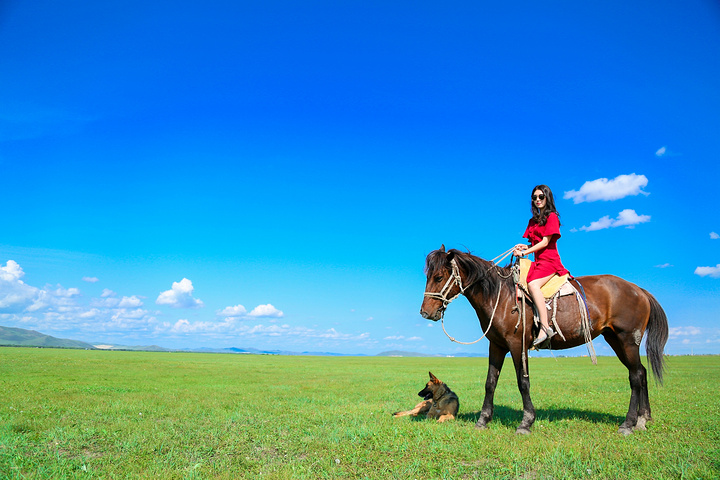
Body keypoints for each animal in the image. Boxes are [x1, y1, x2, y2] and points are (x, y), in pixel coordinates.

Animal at [422, 246, 668, 436]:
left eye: (438, 277)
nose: (425, 312)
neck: (501, 296)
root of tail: (638, 290)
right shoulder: (497, 345)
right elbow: (490, 382)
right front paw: (483, 420)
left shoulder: (517, 345)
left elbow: (523, 382)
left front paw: (526, 422)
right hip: (615, 339)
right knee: (641, 372)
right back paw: (643, 420)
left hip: (627, 340)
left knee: (635, 377)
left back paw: (628, 423)